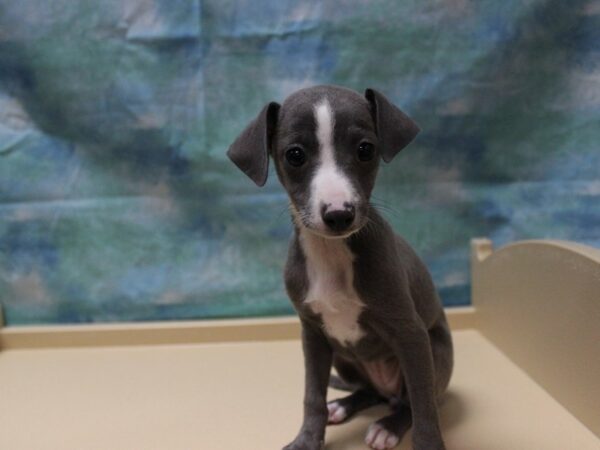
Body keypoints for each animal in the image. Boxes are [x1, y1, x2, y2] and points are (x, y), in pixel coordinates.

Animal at [227, 85, 452, 450]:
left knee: (407, 401)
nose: (338, 214)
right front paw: (306, 440)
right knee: (368, 392)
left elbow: (423, 404)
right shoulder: (313, 334)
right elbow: (312, 395)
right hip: (345, 359)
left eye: (365, 149)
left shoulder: (411, 334)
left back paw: (388, 425)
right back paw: (343, 406)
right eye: (294, 155)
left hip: (434, 352)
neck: (330, 252)